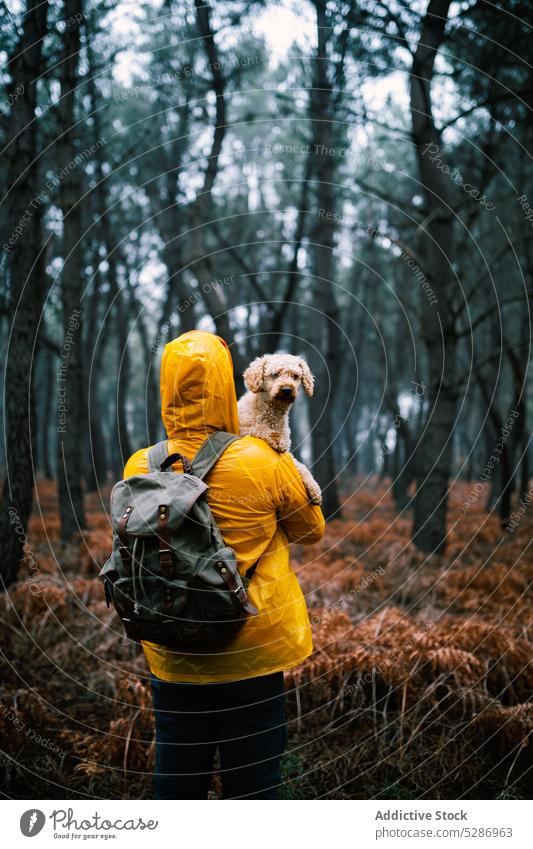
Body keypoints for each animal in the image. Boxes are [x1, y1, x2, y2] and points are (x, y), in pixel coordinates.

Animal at [238, 352, 322, 504]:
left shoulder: (288, 455)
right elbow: (259, 429)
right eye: (275, 374)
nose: (287, 389)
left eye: (295, 376)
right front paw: (277, 439)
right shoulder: (244, 428)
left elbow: (300, 466)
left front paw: (315, 489)